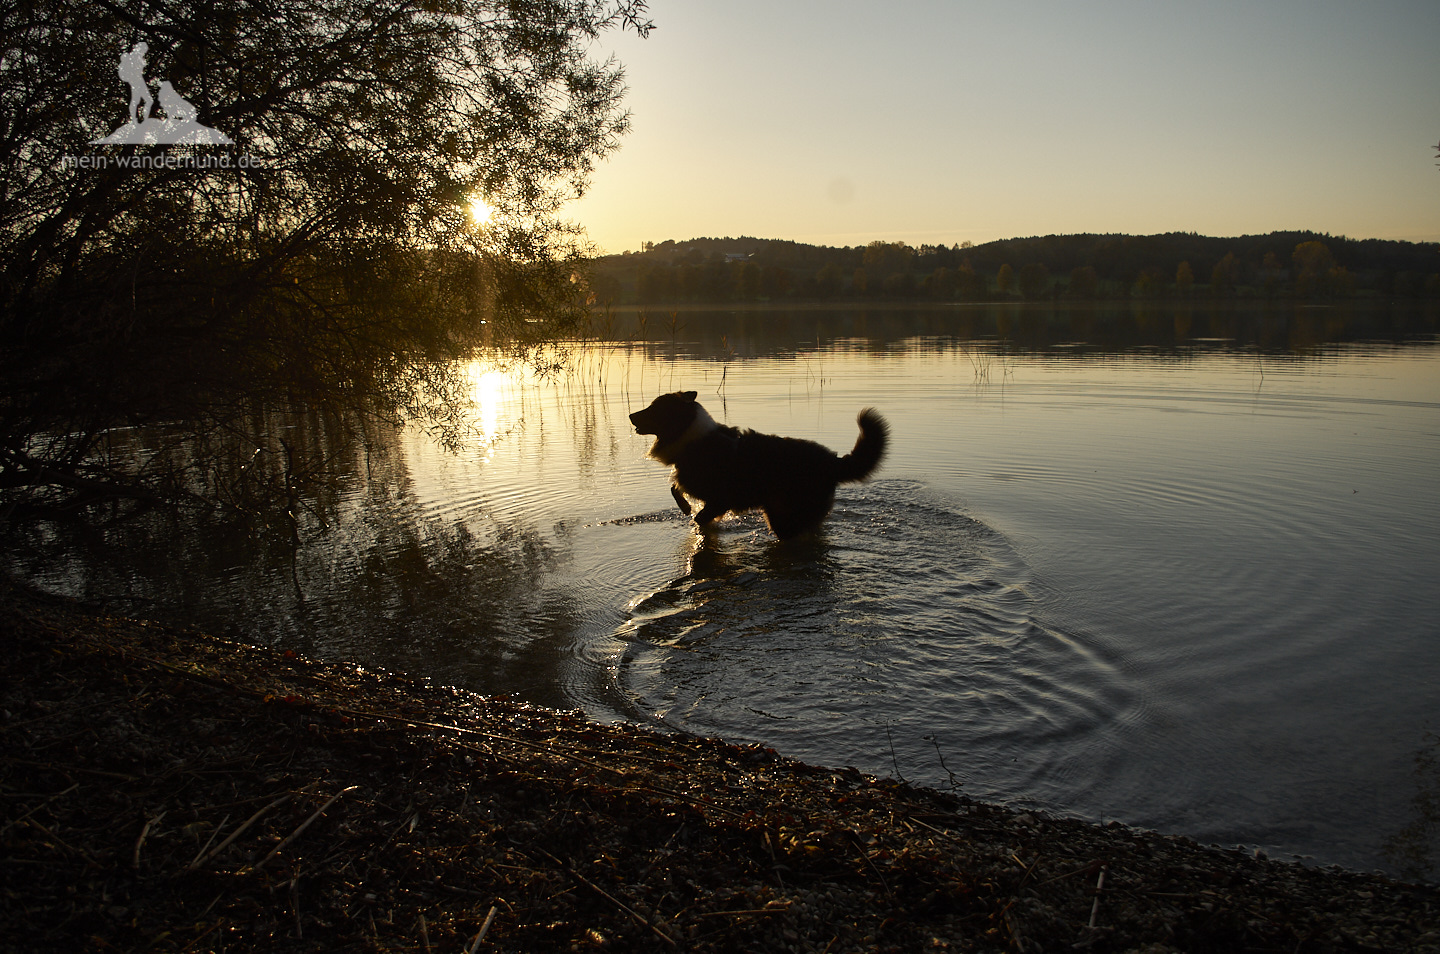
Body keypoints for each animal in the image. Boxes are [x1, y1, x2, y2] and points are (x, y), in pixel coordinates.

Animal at [630, 389, 887, 538]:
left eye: (653, 408)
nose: (631, 415)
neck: (691, 437)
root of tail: (833, 461)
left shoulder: (719, 501)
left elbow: (698, 515)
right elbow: (675, 487)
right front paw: (685, 507)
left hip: (785, 517)